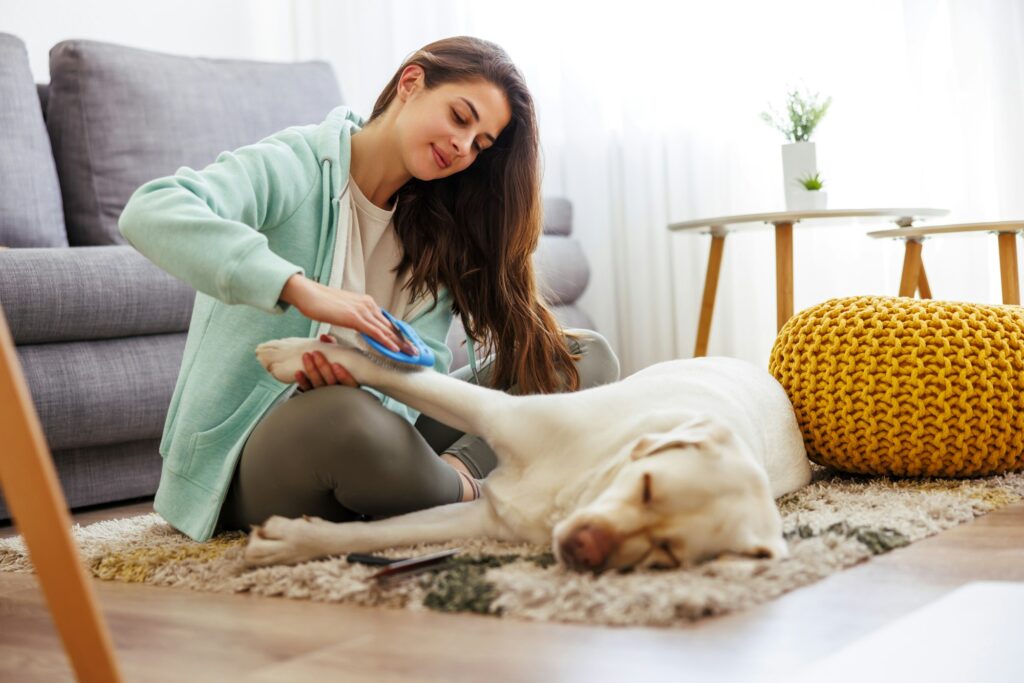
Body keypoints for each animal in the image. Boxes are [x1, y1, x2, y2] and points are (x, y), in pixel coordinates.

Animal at [241, 339, 806, 573]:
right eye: (647, 485)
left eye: (667, 553)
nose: (586, 548)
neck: (580, 484)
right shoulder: (499, 411)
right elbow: (399, 374)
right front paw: (295, 353)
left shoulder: (483, 518)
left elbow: (380, 534)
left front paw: (290, 542)